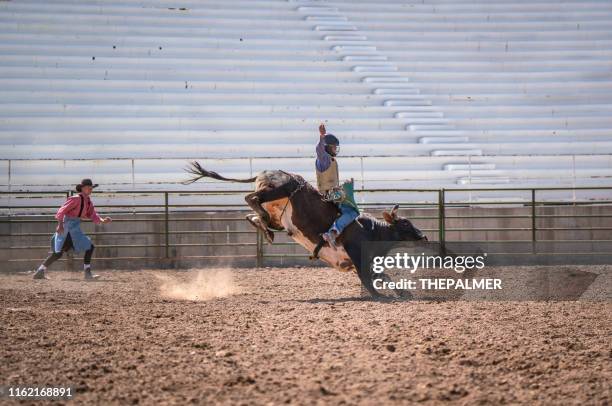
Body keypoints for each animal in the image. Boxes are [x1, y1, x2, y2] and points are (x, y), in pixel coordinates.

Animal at [184, 162, 428, 298]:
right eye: (405, 223)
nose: (424, 236)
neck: (374, 231)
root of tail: (267, 172)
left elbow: (383, 275)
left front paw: (404, 292)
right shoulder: (358, 257)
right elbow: (368, 279)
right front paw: (380, 297)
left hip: (278, 212)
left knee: (254, 214)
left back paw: (265, 228)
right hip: (281, 189)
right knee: (250, 198)